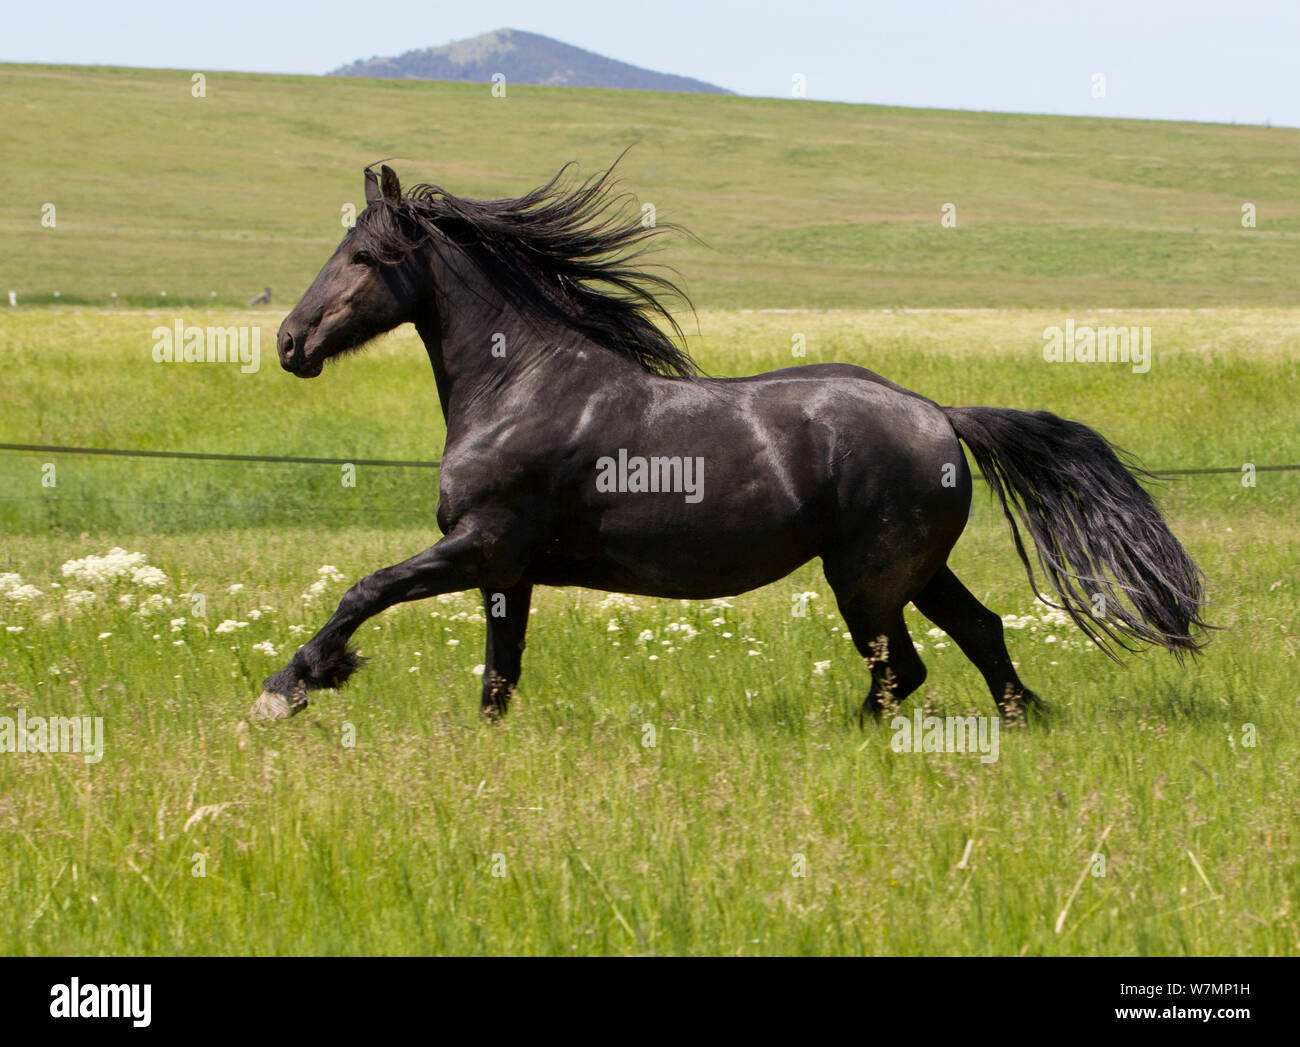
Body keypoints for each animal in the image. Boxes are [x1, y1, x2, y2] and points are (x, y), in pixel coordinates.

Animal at [249, 162, 1207, 725]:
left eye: (364, 256)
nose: (291, 342)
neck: (521, 387)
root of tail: (939, 413)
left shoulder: (479, 544)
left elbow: (364, 589)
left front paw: (289, 688)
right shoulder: (506, 571)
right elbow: (498, 678)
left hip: (865, 579)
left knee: (903, 669)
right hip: (914, 570)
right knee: (979, 632)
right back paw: (1019, 720)